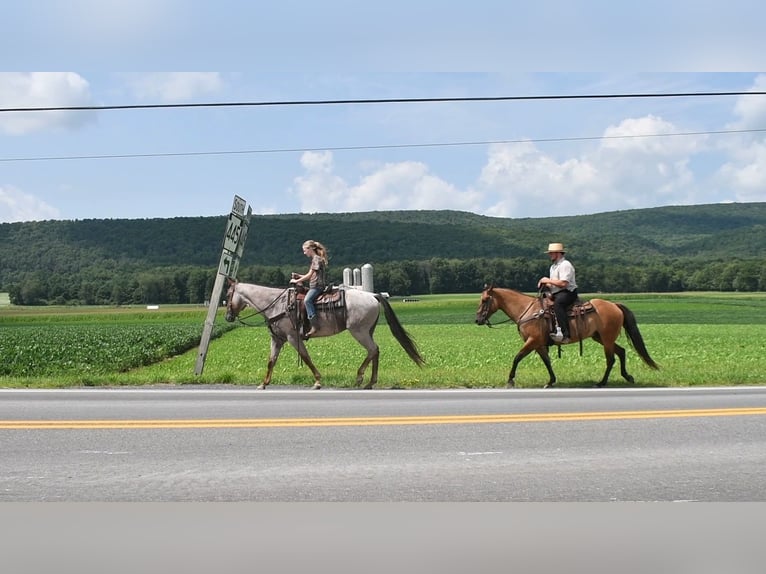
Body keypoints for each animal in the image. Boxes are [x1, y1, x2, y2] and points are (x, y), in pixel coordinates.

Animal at [222, 280, 426, 392]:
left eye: (228, 293)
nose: (228, 317)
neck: (277, 304)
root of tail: (373, 295)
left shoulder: (292, 337)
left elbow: (306, 357)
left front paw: (318, 381)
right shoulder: (277, 339)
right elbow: (271, 361)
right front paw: (263, 384)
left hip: (359, 331)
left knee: (373, 350)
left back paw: (361, 378)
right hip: (367, 331)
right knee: (375, 352)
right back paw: (369, 382)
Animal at [474, 286, 660, 390]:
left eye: (485, 300)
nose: (477, 320)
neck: (528, 310)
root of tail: (614, 305)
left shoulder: (532, 341)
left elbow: (517, 357)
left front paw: (510, 380)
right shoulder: (539, 344)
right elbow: (547, 362)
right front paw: (550, 381)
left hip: (606, 339)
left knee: (611, 359)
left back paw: (601, 382)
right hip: (600, 337)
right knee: (621, 352)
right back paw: (627, 376)